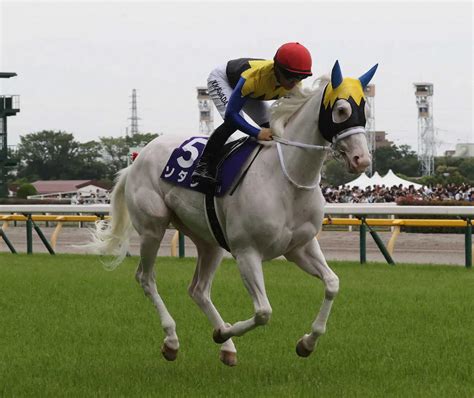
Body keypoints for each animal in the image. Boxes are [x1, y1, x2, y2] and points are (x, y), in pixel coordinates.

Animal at [88, 61, 378, 366]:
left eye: (364, 111)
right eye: (341, 110)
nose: (362, 160)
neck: (287, 179)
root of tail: (137, 159)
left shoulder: (300, 247)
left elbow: (332, 284)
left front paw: (306, 343)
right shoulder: (246, 251)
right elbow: (263, 312)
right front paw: (223, 332)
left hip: (209, 240)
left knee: (198, 289)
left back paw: (227, 347)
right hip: (152, 229)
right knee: (146, 278)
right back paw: (172, 340)